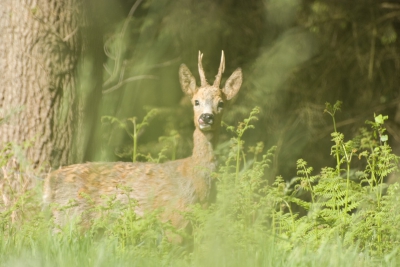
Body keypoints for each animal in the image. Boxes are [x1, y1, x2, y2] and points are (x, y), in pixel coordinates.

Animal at [43, 51, 244, 238]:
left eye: (221, 103)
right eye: (196, 101)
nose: (206, 117)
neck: (197, 184)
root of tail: (49, 182)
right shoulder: (174, 220)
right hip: (69, 218)